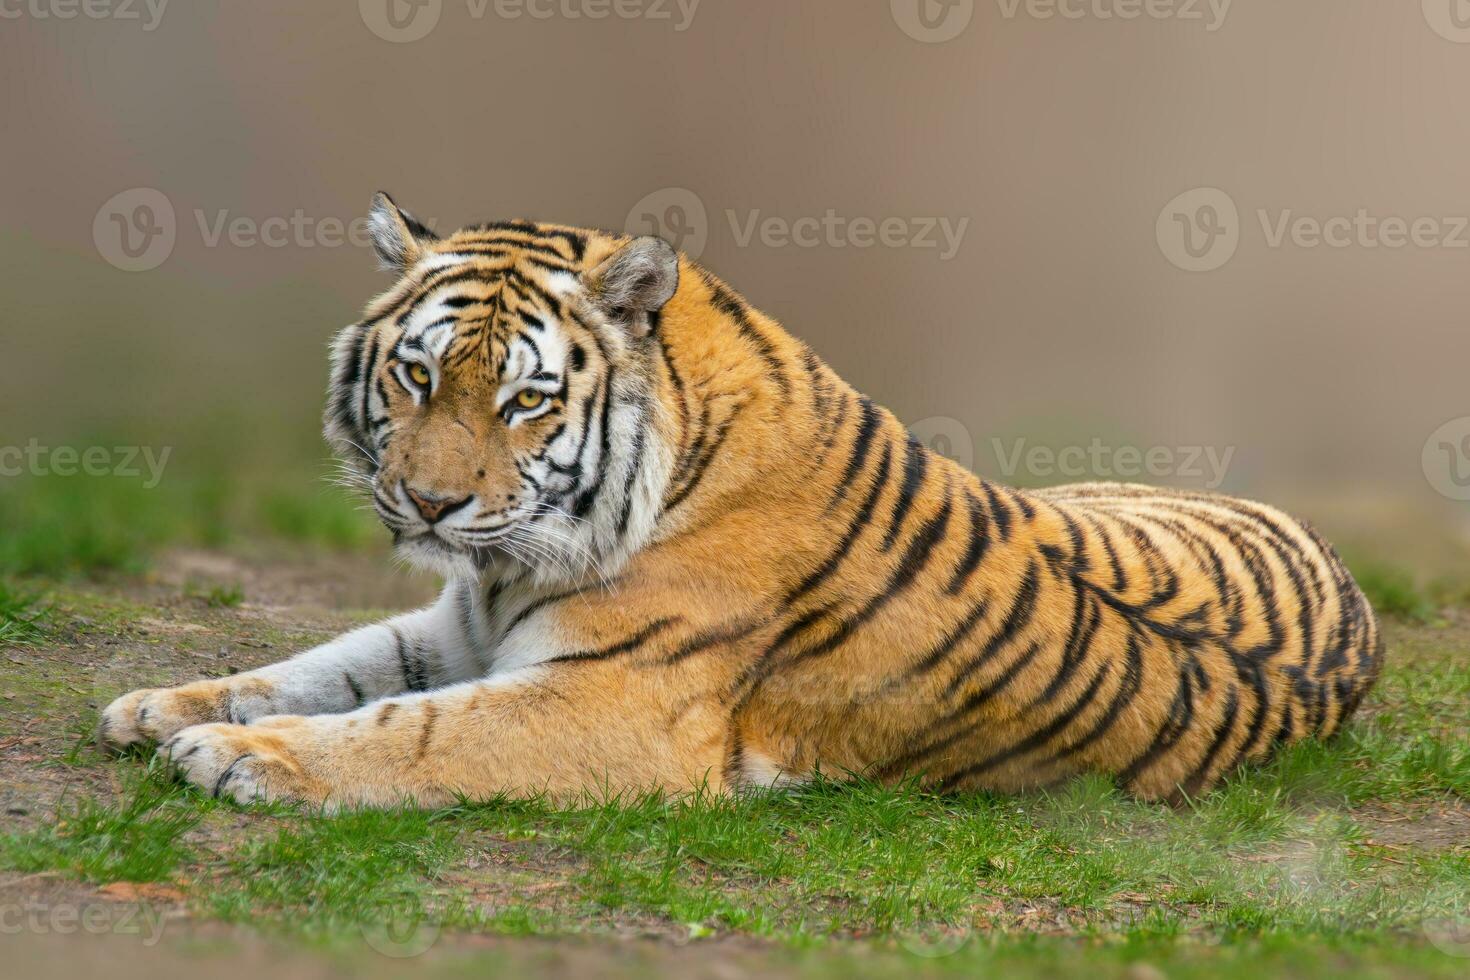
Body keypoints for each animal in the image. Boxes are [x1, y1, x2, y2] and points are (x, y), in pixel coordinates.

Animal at [97, 193, 1381, 811]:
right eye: (417, 375)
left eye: (524, 400)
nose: (426, 501)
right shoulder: (463, 621)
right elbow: (328, 664)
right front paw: (161, 705)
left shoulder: (607, 703)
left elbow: (406, 727)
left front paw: (236, 756)